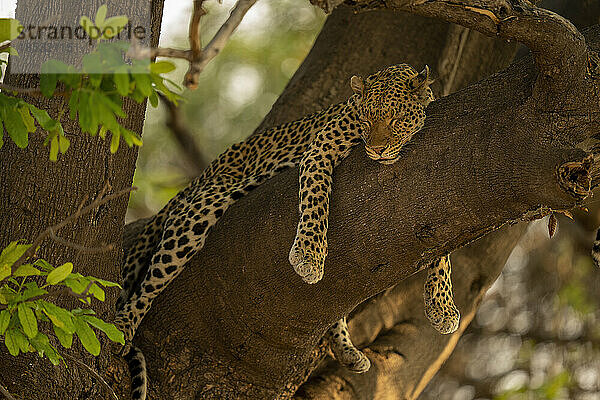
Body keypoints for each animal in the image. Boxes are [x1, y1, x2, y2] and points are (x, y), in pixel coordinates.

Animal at [116, 64, 460, 398]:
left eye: (396, 119)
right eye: (365, 119)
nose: (376, 150)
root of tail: (206, 171)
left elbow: (444, 241)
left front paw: (442, 306)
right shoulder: (320, 149)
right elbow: (316, 200)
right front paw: (308, 255)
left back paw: (347, 350)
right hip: (201, 209)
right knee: (149, 284)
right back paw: (123, 324)